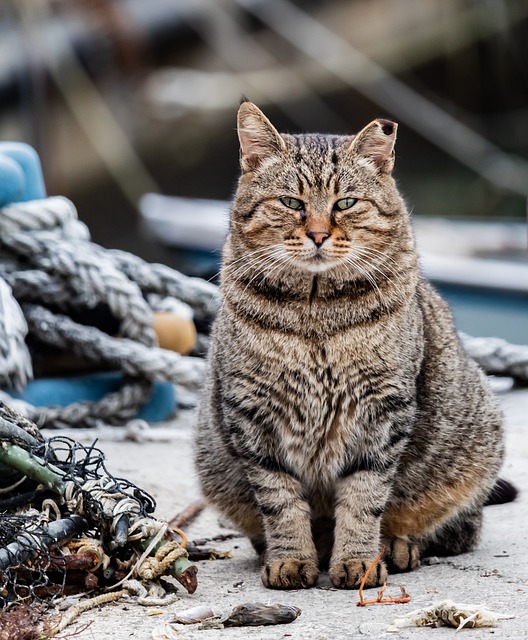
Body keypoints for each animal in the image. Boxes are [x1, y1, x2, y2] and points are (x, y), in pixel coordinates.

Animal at [195, 101, 504, 592]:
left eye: (345, 203)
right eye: (291, 202)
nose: (319, 234)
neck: (315, 311)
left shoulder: (382, 409)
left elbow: (364, 496)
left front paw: (358, 560)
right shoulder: (252, 412)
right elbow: (279, 500)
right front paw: (290, 559)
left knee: (456, 528)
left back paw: (396, 545)